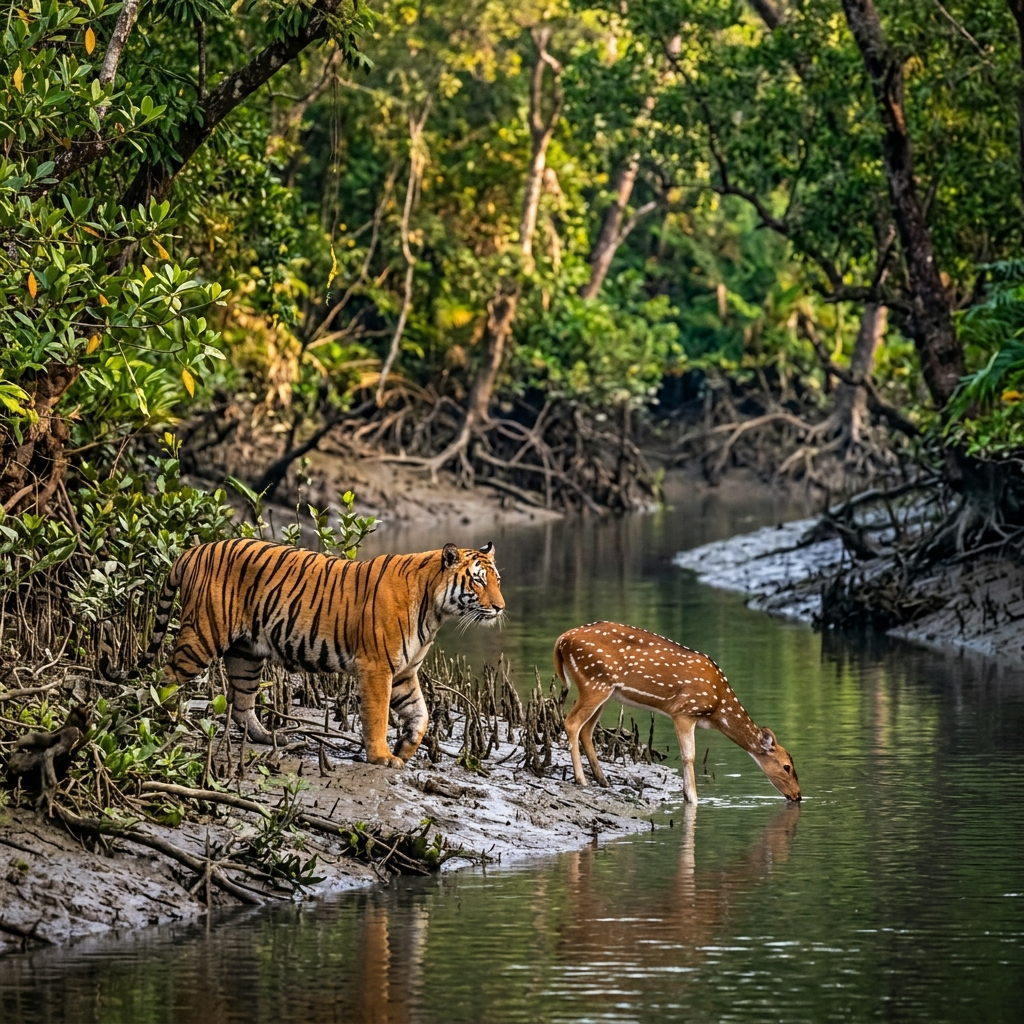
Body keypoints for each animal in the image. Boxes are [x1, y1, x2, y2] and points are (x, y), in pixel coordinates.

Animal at [133, 538, 505, 767]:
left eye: (497, 580)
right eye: (478, 581)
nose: (501, 607)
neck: (435, 611)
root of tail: (195, 549)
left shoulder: (403, 672)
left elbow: (421, 715)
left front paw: (404, 748)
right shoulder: (377, 668)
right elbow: (377, 716)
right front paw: (382, 756)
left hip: (247, 654)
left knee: (242, 705)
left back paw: (269, 738)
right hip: (201, 636)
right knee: (164, 679)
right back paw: (167, 721)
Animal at [554, 622, 800, 804]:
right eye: (787, 767)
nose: (798, 795)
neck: (717, 708)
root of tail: (562, 640)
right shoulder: (684, 711)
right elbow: (688, 755)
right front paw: (692, 799)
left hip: (604, 690)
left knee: (586, 729)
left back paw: (603, 781)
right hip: (595, 682)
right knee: (572, 722)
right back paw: (582, 780)